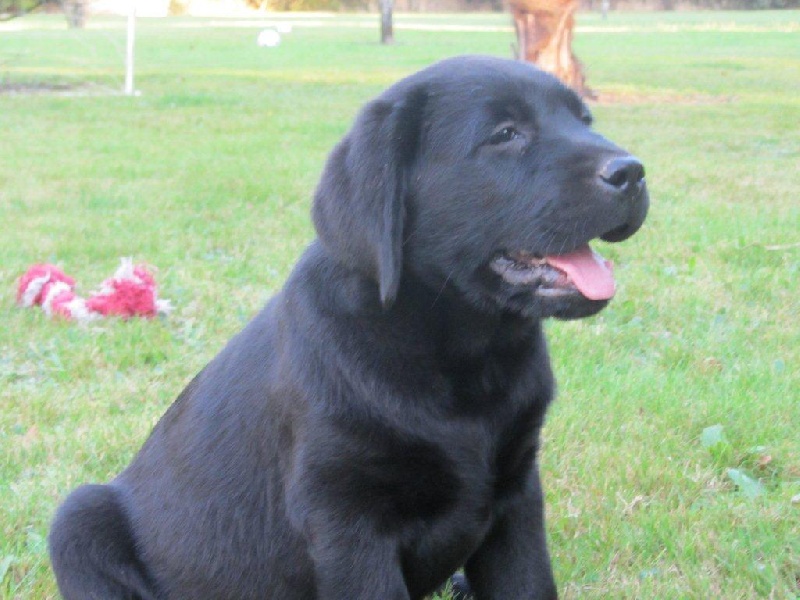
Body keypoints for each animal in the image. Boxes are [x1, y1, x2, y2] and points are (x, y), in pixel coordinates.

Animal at [49, 55, 648, 600]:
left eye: (585, 120)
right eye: (505, 134)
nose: (633, 172)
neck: (463, 352)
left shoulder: (517, 494)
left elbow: (529, 584)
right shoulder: (346, 519)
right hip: (76, 519)